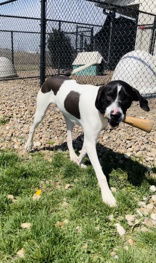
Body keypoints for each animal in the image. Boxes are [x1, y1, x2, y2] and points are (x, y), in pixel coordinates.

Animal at [25, 76, 149, 208]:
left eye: (126, 99)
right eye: (108, 97)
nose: (115, 115)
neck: (99, 108)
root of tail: (51, 78)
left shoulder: (91, 138)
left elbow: (84, 150)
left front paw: (78, 162)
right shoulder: (90, 139)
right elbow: (100, 173)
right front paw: (107, 195)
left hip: (69, 118)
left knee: (68, 139)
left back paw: (72, 156)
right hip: (41, 112)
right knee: (32, 128)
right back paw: (28, 145)